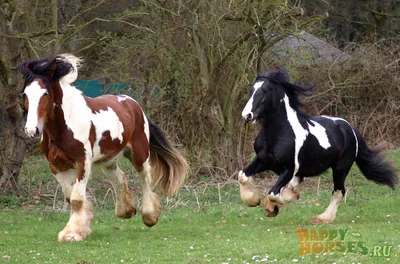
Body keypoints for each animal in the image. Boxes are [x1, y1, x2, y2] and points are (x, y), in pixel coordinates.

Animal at [21, 53, 190, 241]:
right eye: (25, 93)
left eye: (45, 93)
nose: (32, 130)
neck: (65, 126)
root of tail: (133, 103)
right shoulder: (57, 166)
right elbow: (70, 197)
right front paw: (82, 227)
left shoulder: (82, 163)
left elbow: (76, 199)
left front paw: (73, 234)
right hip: (108, 160)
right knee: (120, 177)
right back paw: (126, 210)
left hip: (139, 154)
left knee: (145, 178)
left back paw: (149, 216)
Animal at [238, 68, 396, 223]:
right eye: (252, 89)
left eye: (266, 90)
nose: (247, 116)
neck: (279, 133)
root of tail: (349, 128)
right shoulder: (263, 160)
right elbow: (243, 176)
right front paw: (254, 200)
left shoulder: (289, 168)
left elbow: (273, 194)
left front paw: (274, 206)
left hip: (341, 168)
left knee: (339, 191)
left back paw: (323, 218)